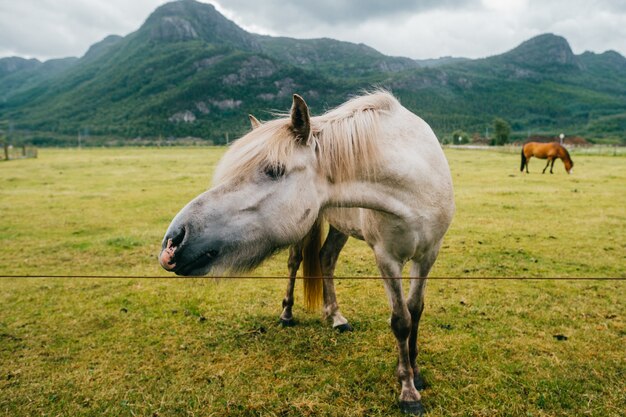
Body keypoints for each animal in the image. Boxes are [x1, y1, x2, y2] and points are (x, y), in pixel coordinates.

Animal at [158, 91, 454, 412]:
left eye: (274, 170)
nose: (174, 241)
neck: (413, 183)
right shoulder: (386, 258)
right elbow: (400, 320)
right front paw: (408, 392)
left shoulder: (428, 254)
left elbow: (415, 311)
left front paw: (416, 374)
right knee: (295, 262)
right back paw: (287, 313)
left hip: (339, 226)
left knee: (327, 259)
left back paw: (336, 317)